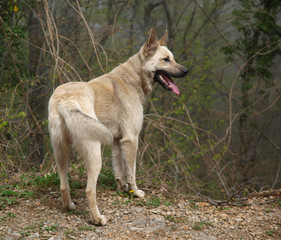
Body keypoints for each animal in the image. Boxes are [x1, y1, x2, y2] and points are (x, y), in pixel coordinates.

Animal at [48, 28, 188, 225]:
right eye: (166, 59)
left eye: (173, 58)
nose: (186, 71)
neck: (133, 78)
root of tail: (65, 100)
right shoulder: (131, 139)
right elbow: (131, 171)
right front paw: (135, 192)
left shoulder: (116, 141)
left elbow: (119, 169)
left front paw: (122, 188)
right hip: (94, 154)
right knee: (89, 190)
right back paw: (98, 219)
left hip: (61, 152)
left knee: (63, 185)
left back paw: (69, 206)